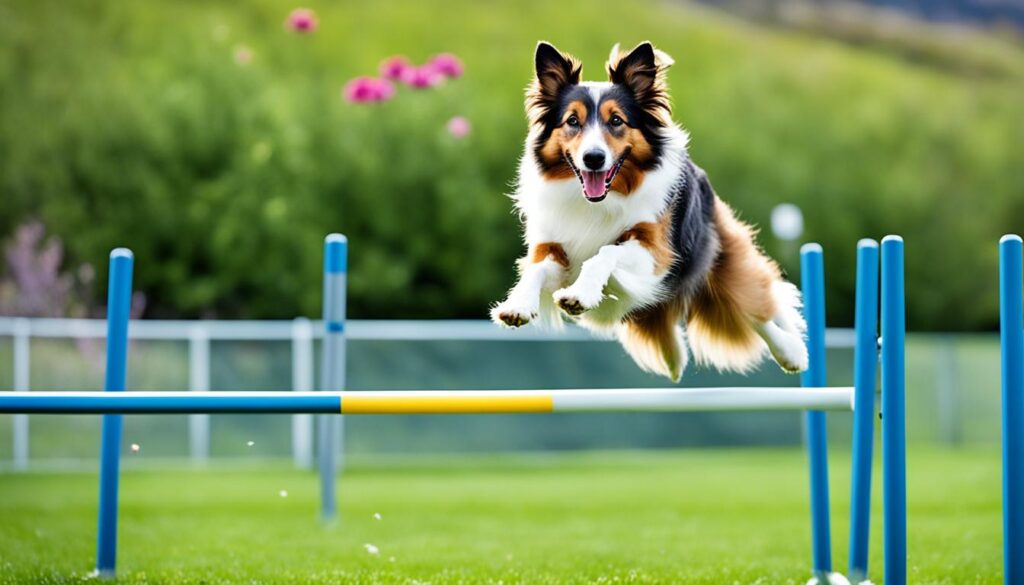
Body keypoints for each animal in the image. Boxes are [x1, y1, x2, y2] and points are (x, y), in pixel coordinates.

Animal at [489, 39, 806, 379]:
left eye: (616, 120)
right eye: (572, 121)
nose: (593, 158)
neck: (599, 201)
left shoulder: (654, 250)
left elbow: (605, 252)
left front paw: (580, 294)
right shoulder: (555, 249)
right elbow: (536, 270)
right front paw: (518, 305)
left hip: (723, 263)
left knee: (756, 308)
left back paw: (792, 353)